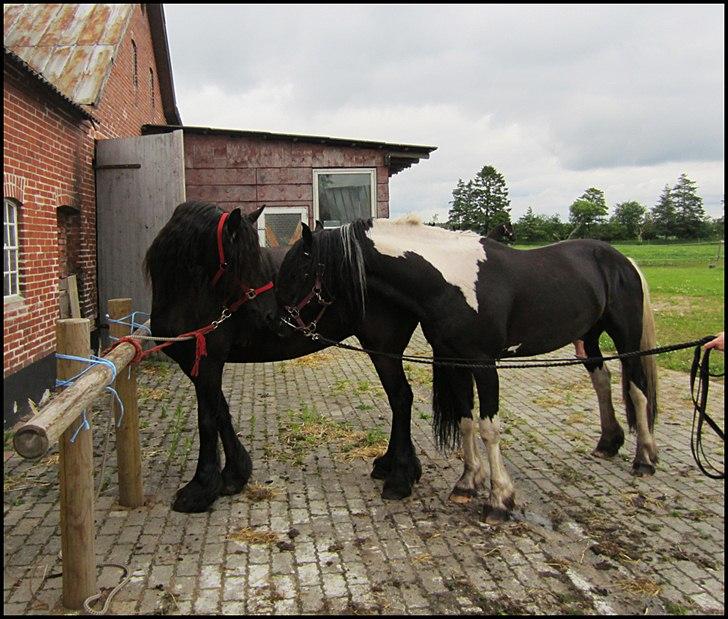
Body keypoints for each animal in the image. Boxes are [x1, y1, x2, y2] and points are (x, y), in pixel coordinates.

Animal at [144, 202, 424, 512]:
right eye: (239, 260)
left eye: (255, 257)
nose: (271, 315)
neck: (193, 293)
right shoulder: (197, 367)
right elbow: (221, 412)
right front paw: (234, 474)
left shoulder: (207, 363)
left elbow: (207, 419)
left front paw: (201, 488)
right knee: (399, 398)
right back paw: (393, 467)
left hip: (383, 348)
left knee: (400, 398)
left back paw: (400, 476)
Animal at [276, 216, 664, 520]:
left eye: (302, 269)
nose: (281, 324)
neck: (450, 281)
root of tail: (622, 260)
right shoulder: (455, 361)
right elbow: (465, 421)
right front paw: (466, 483)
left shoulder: (482, 363)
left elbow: (488, 427)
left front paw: (499, 499)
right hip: (590, 336)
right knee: (603, 379)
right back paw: (608, 443)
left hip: (626, 338)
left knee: (637, 389)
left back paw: (644, 458)